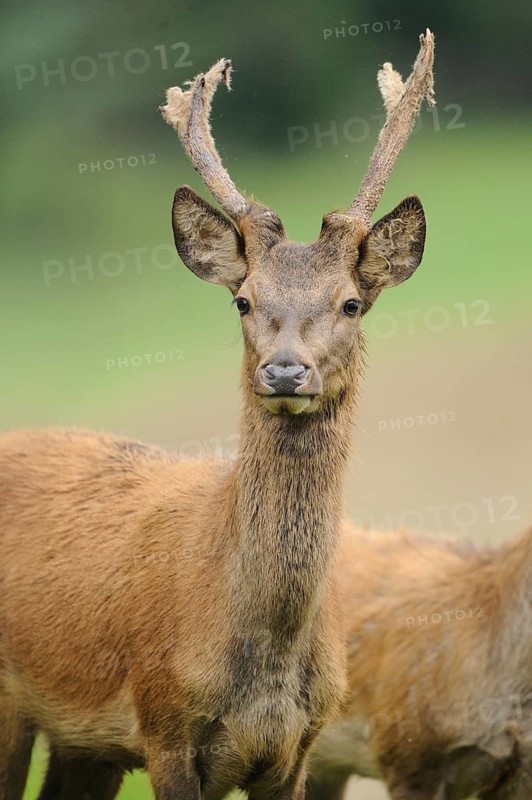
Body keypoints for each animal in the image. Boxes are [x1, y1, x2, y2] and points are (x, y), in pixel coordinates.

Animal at [0, 32, 435, 800]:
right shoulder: (164, 725)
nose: (285, 370)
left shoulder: (299, 746)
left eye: (351, 302)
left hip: (85, 746)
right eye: (243, 300)